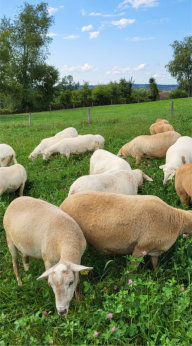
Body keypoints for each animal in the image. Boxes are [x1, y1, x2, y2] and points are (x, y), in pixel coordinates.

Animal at [60, 192, 192, 270]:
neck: (175, 220)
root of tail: (63, 204)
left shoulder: (155, 250)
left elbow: (155, 264)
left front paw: (157, 274)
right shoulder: (141, 248)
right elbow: (131, 269)